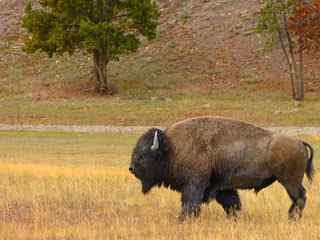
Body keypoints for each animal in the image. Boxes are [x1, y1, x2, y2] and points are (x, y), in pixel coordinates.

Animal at [129, 116, 314, 221]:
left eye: (143, 154)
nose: (131, 168)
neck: (173, 148)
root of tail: (299, 141)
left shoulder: (194, 185)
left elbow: (190, 204)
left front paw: (182, 220)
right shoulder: (222, 188)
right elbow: (232, 205)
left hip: (289, 181)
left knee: (300, 197)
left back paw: (292, 218)